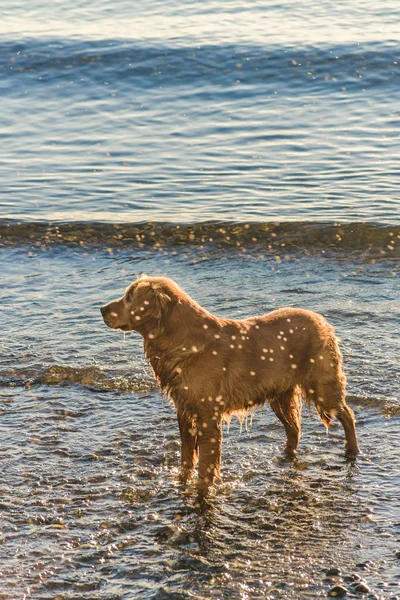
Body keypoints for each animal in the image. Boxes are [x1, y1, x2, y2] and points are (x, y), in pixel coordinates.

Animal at [101, 276, 360, 492]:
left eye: (129, 297)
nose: (102, 309)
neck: (183, 343)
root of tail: (322, 320)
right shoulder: (184, 411)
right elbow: (187, 456)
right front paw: (182, 481)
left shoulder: (207, 415)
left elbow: (206, 462)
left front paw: (202, 487)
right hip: (280, 394)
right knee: (294, 428)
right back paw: (286, 455)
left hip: (322, 385)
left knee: (347, 415)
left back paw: (352, 451)